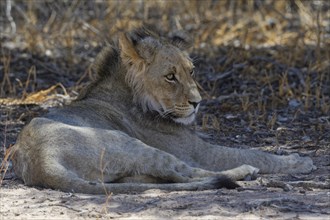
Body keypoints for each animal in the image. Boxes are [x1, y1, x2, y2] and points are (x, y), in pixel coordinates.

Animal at [10, 27, 314, 194]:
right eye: (170, 77)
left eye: (191, 71)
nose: (197, 102)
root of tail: (41, 162)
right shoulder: (199, 152)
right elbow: (255, 153)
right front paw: (298, 161)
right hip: (128, 143)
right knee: (185, 172)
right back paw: (244, 172)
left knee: (168, 176)